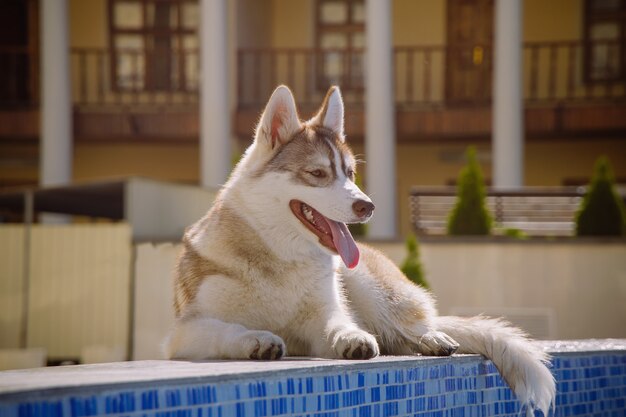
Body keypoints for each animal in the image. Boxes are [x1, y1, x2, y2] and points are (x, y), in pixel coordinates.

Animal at [163, 86, 552, 414]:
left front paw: (351, 336)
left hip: (366, 285)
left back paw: (430, 338)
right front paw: (256, 339)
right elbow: (225, 329)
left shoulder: (322, 319)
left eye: (349, 173)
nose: (368, 206)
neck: (281, 259)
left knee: (411, 325)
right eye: (318, 173)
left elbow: (338, 323)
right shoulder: (185, 332)